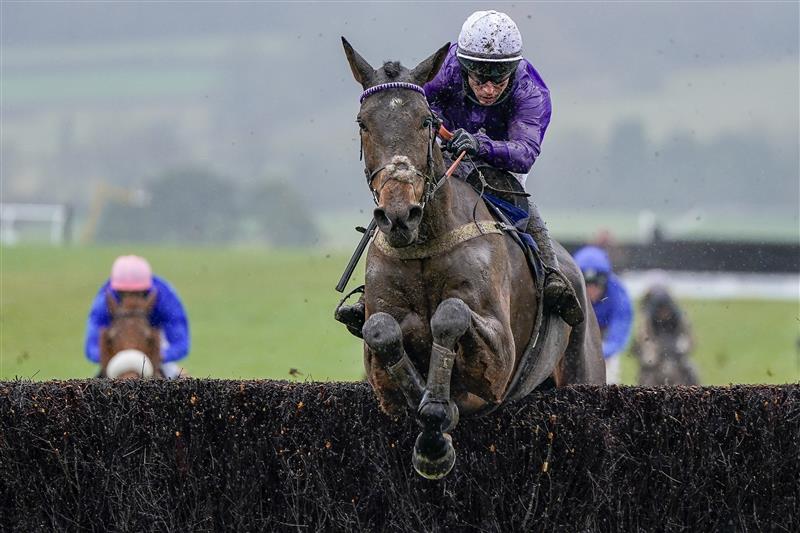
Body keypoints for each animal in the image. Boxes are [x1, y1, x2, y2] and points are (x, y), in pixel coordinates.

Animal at [340, 38, 604, 478]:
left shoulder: (498, 363)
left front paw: (436, 418)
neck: (423, 245)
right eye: (363, 123)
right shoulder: (379, 370)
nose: (399, 215)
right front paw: (430, 415)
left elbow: (452, 314)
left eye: (425, 122)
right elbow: (380, 330)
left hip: (585, 370)